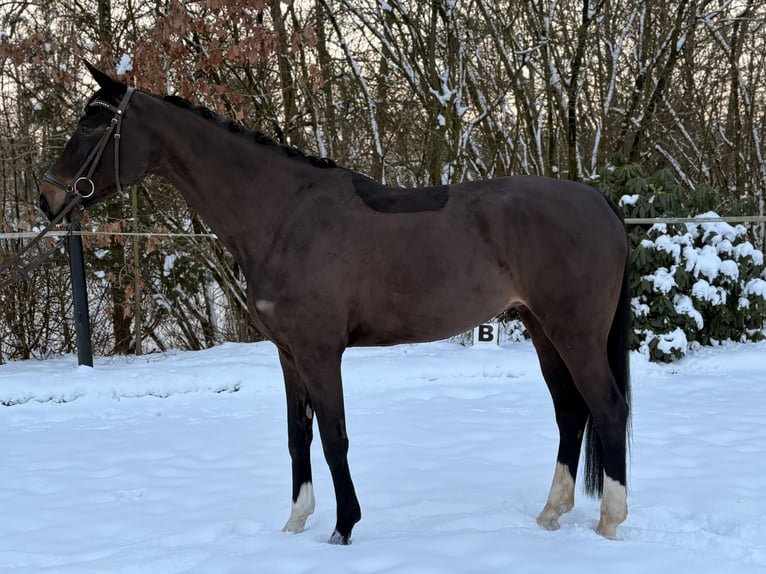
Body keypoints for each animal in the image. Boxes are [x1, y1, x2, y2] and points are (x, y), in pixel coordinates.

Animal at [40, 63, 631, 545]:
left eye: (93, 125)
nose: (48, 198)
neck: (283, 216)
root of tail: (599, 201)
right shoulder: (288, 354)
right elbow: (296, 437)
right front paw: (295, 521)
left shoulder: (320, 352)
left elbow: (333, 437)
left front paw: (344, 526)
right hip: (542, 328)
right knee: (570, 411)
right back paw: (551, 514)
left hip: (574, 333)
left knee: (606, 407)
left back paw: (610, 522)